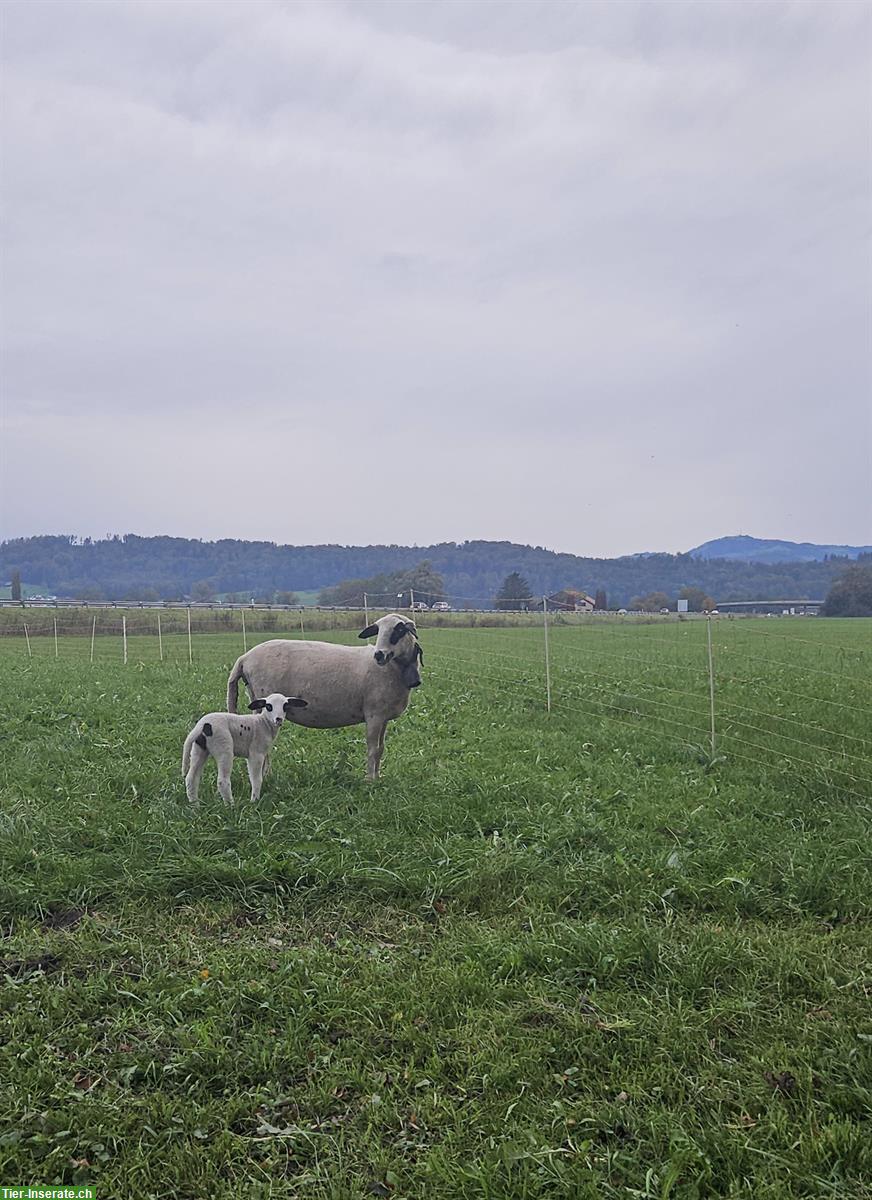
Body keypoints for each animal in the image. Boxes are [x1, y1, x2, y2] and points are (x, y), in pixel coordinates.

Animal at [178, 691, 309, 801]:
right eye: (268, 706)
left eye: (285, 706)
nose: (279, 719)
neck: (264, 723)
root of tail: (201, 726)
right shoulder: (256, 754)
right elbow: (256, 779)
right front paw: (254, 801)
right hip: (223, 747)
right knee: (222, 781)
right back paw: (230, 805)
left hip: (199, 749)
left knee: (191, 778)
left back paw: (195, 805)